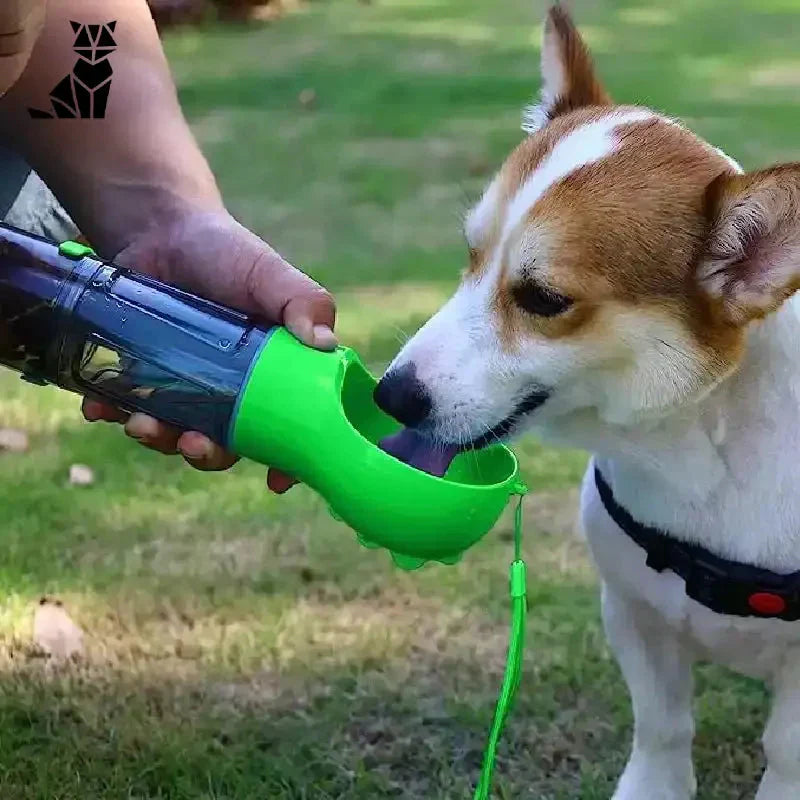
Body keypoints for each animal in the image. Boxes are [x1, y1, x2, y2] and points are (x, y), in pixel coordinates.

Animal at [376, 6, 800, 800]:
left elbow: (785, 749)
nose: (391, 395)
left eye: (543, 299)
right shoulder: (631, 612)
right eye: (469, 256)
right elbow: (662, 726)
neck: (694, 455)